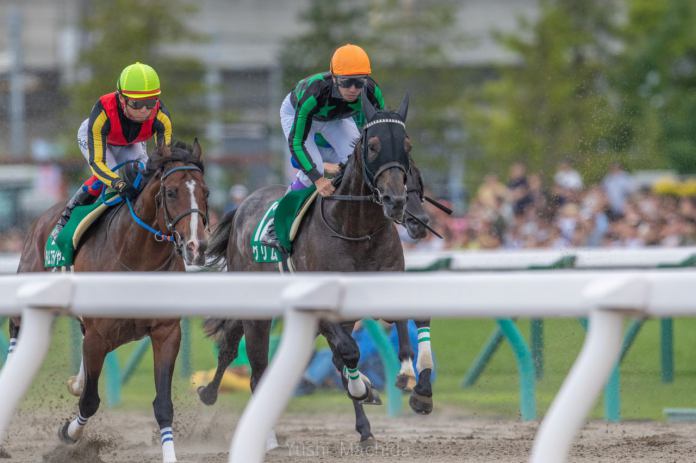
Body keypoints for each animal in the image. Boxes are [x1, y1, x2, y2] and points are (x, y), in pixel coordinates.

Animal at [12, 141, 208, 463]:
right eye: (171, 192)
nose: (197, 246)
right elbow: (90, 401)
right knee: (17, 328)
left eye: (206, 192)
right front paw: (68, 434)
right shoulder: (98, 337)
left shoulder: (166, 332)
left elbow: (163, 404)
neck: (137, 257)